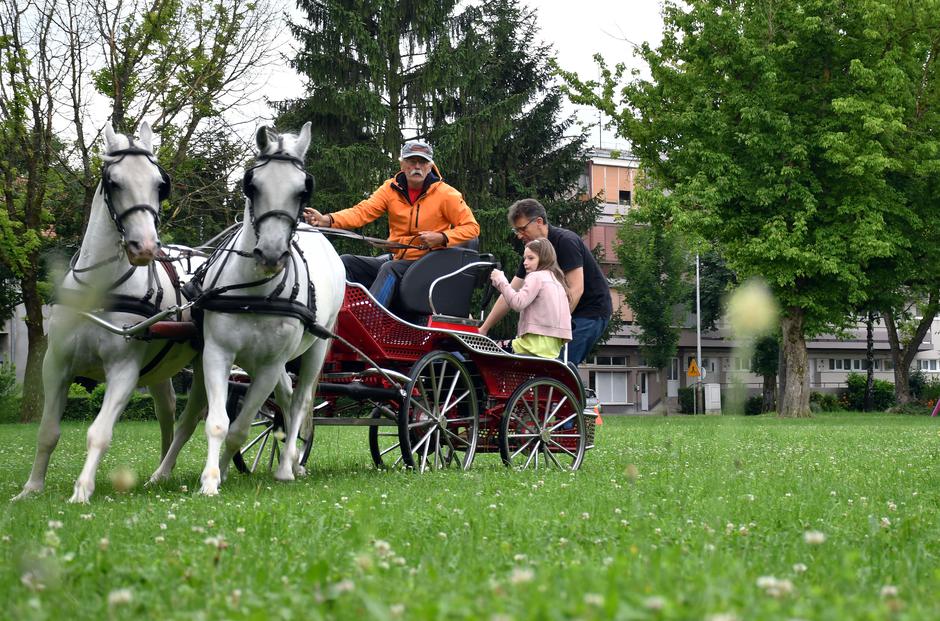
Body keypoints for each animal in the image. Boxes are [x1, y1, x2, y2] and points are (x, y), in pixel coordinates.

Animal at [13, 122, 207, 504]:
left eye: (159, 184)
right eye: (114, 182)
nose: (144, 247)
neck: (99, 291)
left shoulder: (123, 371)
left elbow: (99, 432)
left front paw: (82, 489)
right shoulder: (55, 365)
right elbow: (47, 431)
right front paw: (32, 488)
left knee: (190, 419)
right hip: (158, 370)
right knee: (167, 412)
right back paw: (160, 473)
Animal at [151, 122, 346, 494]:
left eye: (303, 190)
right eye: (252, 185)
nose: (270, 254)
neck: (255, 291)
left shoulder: (270, 365)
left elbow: (239, 428)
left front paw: (222, 471)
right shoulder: (217, 353)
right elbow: (217, 422)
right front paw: (212, 478)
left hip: (316, 347)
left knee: (299, 402)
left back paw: (286, 467)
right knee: (279, 399)